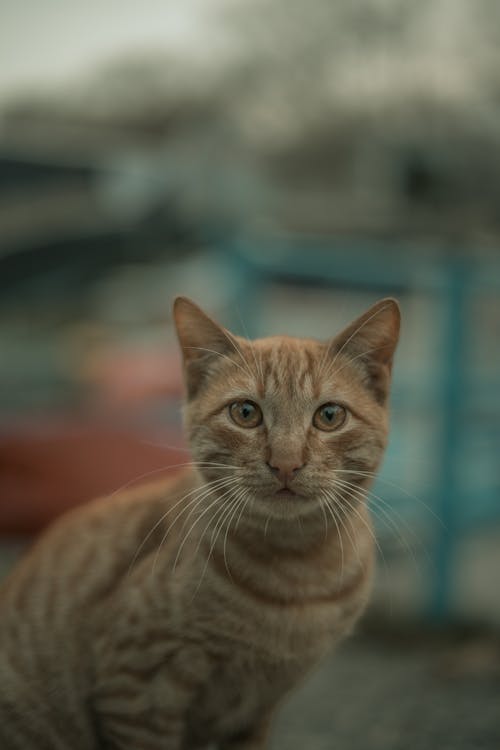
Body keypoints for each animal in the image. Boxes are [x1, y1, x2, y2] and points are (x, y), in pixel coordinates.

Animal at [0, 296, 398, 748]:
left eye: (329, 415)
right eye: (245, 412)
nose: (286, 462)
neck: (297, 569)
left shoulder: (257, 712)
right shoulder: (136, 688)